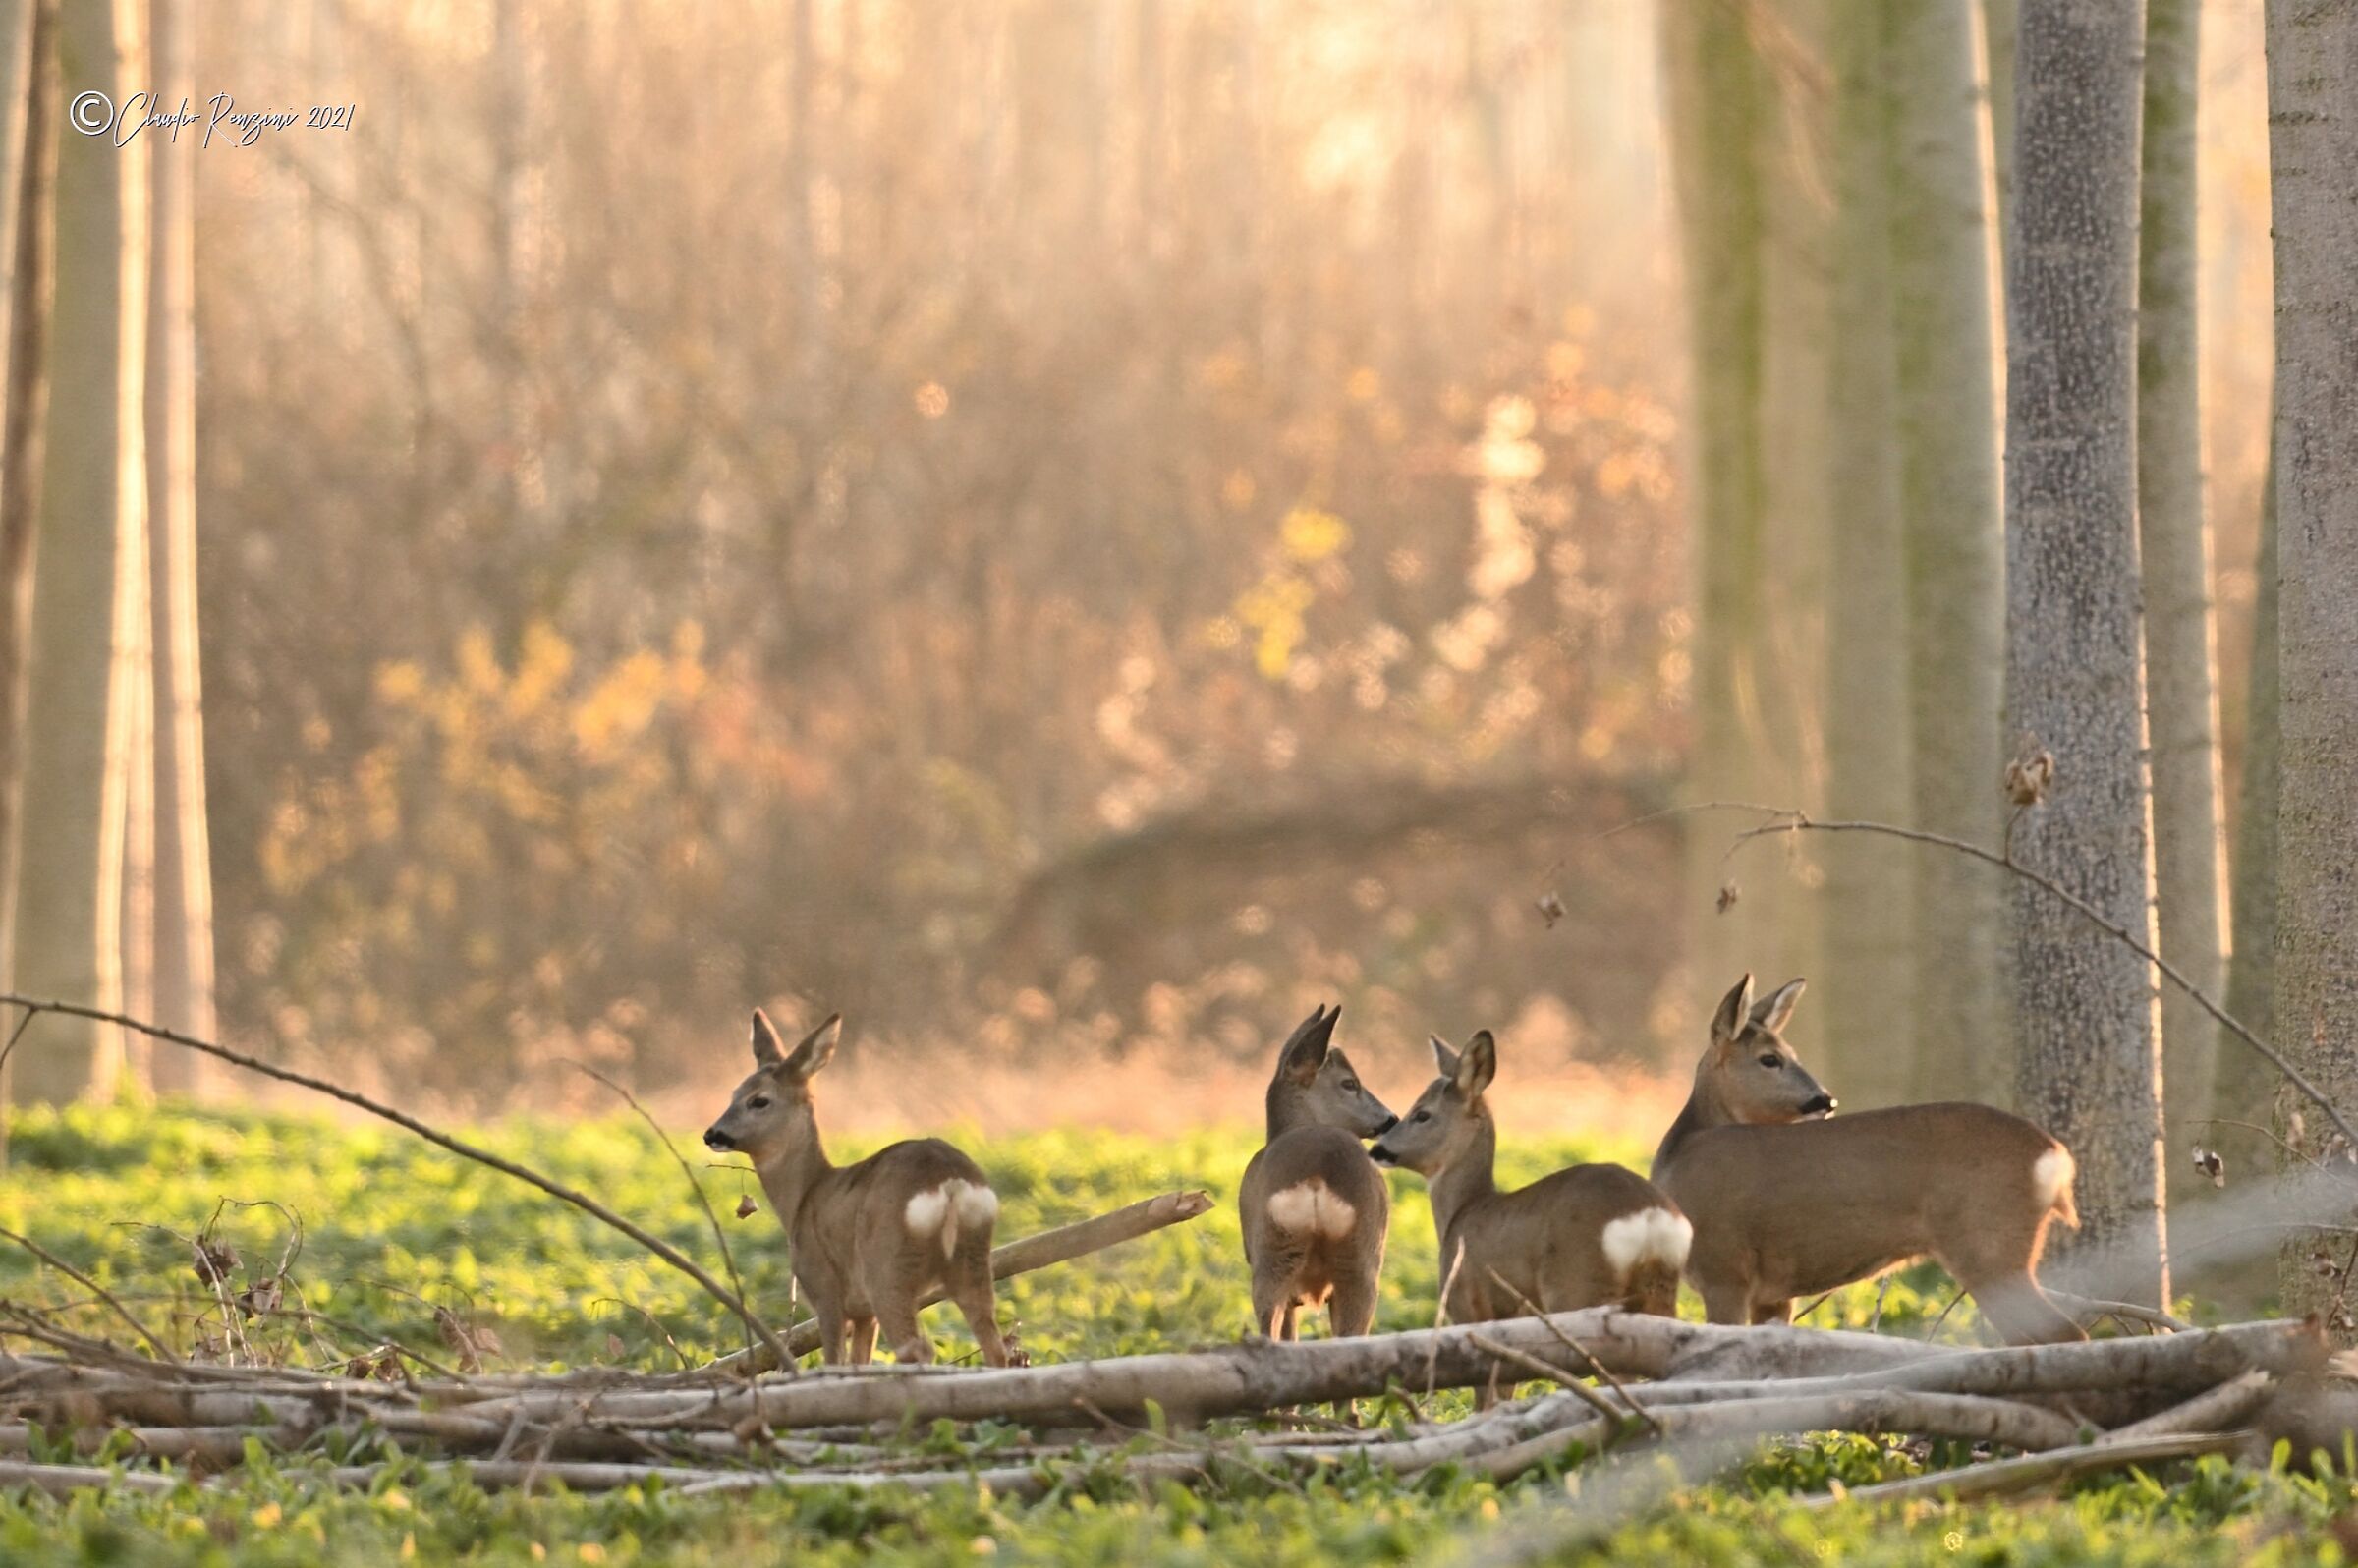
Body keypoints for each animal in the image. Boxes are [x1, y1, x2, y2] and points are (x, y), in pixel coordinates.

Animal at [703, 1010, 1012, 1367]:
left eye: (759, 1100)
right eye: (733, 1094)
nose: (713, 1134)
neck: (804, 1196)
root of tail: (949, 1182)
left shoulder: (825, 1287)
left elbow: (835, 1361)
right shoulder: (863, 1312)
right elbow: (859, 1361)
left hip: (887, 1265)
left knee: (917, 1348)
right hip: (973, 1261)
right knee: (994, 1345)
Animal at [1369, 1030, 1691, 1328]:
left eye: (1422, 1114)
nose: (1377, 1149)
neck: (1465, 1208)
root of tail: (1648, 1217)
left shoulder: (1467, 1304)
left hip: (1578, 1286)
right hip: (1659, 1291)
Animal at [1651, 973, 2086, 1345]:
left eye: (1783, 1054)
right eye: (1770, 1058)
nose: (1824, 1100)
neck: (1679, 1156)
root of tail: (2055, 1156)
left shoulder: (1724, 1268)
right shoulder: (1773, 1290)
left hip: (1987, 1240)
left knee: (2064, 1333)